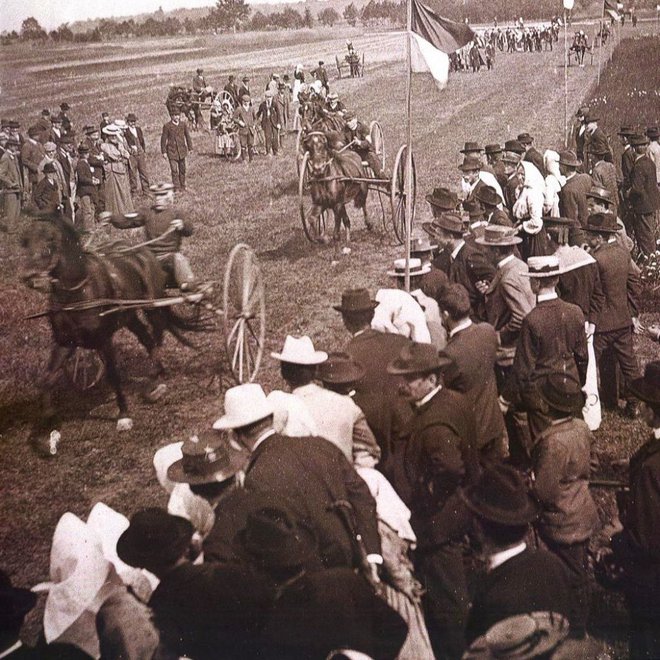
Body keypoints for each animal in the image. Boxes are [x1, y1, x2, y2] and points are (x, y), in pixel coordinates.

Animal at [21, 214, 199, 436]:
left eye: (50, 240)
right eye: (25, 241)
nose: (30, 277)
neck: (77, 294)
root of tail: (144, 252)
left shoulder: (103, 339)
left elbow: (113, 375)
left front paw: (124, 415)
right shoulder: (64, 342)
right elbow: (46, 380)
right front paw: (47, 427)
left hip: (152, 306)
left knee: (157, 335)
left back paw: (156, 378)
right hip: (129, 316)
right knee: (147, 339)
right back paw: (156, 375)